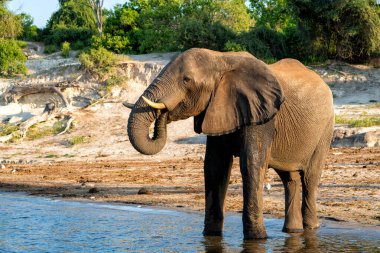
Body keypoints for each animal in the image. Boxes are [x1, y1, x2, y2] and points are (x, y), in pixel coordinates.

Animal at [124, 48, 332, 239]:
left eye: (186, 80)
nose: (164, 112)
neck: (221, 59)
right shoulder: (218, 108)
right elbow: (215, 166)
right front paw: (211, 236)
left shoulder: (261, 116)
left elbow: (251, 164)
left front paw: (257, 238)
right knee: (290, 179)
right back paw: (293, 231)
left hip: (324, 131)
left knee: (310, 178)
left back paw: (311, 228)